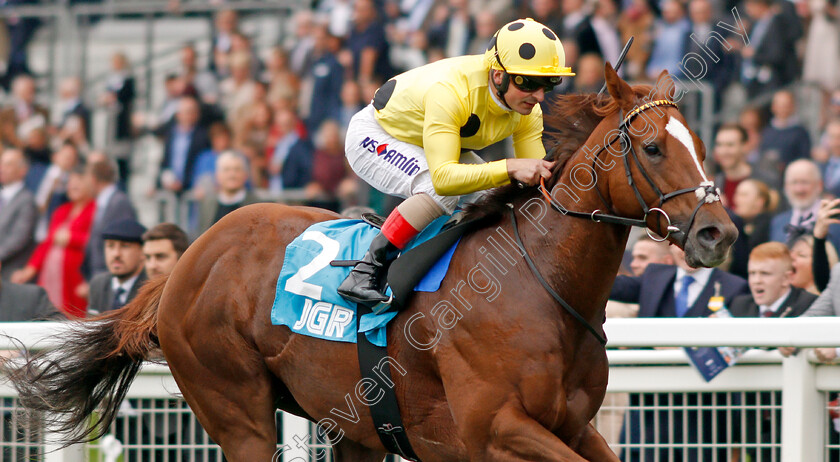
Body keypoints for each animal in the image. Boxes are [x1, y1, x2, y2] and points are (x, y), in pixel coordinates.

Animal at [11, 66, 736, 462]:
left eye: (700, 145)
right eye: (651, 147)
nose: (718, 232)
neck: (543, 285)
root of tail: (188, 260)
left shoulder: (573, 427)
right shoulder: (495, 430)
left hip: (353, 422)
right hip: (235, 408)